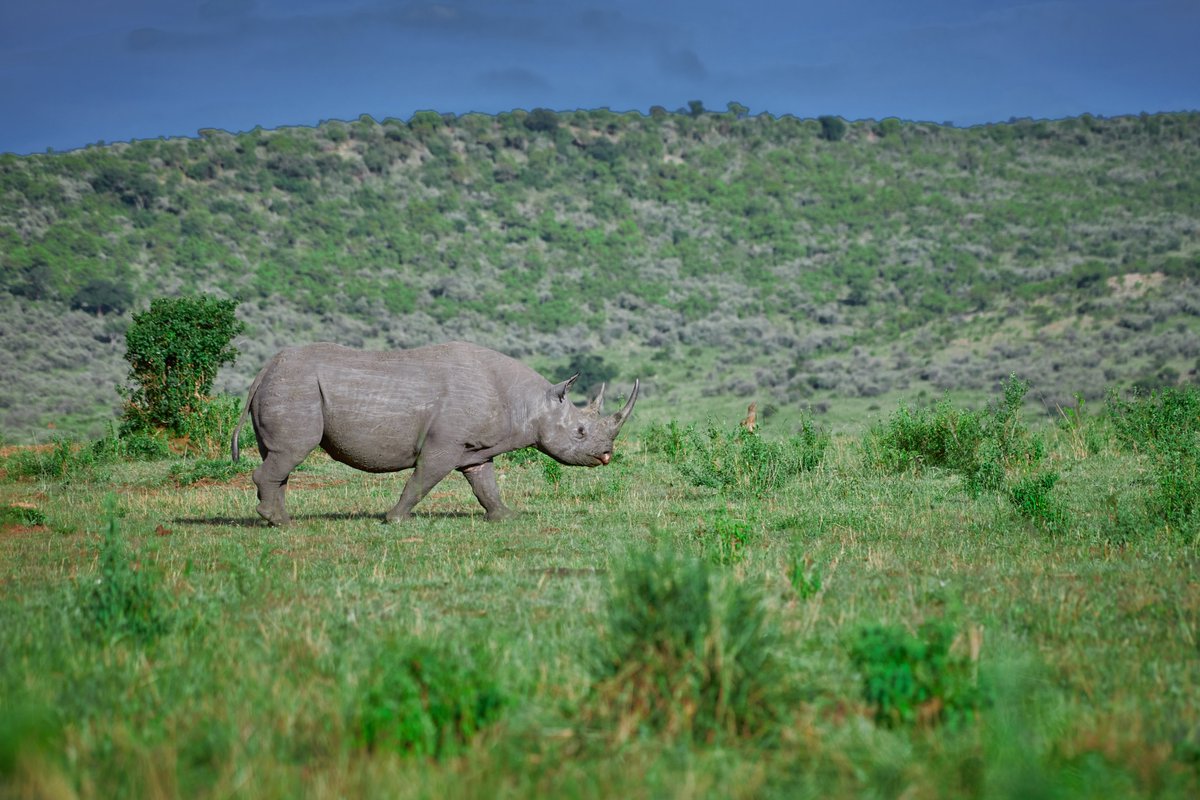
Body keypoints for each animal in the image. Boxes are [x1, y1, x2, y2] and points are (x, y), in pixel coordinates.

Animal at [231, 341, 638, 525]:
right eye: (581, 431)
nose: (606, 455)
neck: (530, 403)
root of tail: (263, 370)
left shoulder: (476, 448)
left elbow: (485, 484)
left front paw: (506, 517)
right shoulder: (444, 444)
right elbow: (421, 480)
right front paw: (395, 520)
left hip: (287, 385)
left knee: (280, 458)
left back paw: (276, 519)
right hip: (295, 388)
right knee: (291, 453)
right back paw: (279, 521)